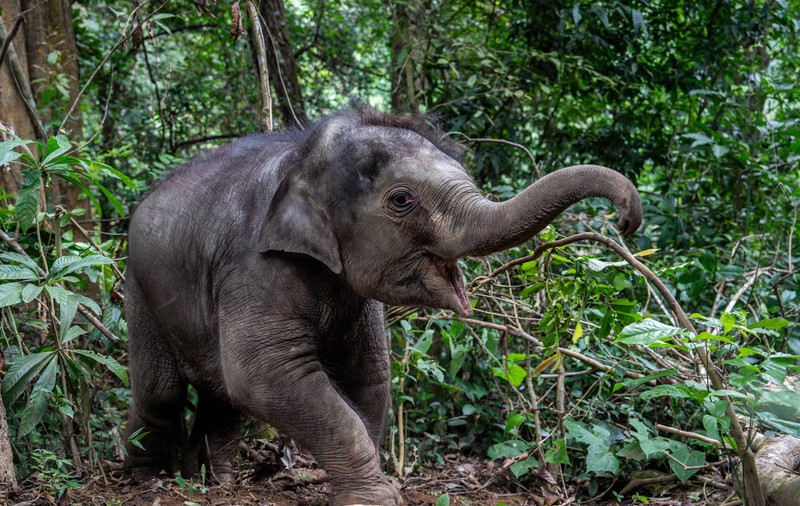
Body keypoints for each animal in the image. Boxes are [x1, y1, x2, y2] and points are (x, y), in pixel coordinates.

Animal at [123, 107, 642, 505]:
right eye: (402, 199)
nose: (625, 218)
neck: (300, 159)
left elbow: (368, 374)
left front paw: (372, 488)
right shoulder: (253, 267)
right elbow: (263, 374)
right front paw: (373, 497)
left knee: (221, 397)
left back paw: (212, 480)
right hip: (138, 285)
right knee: (163, 390)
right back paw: (148, 480)